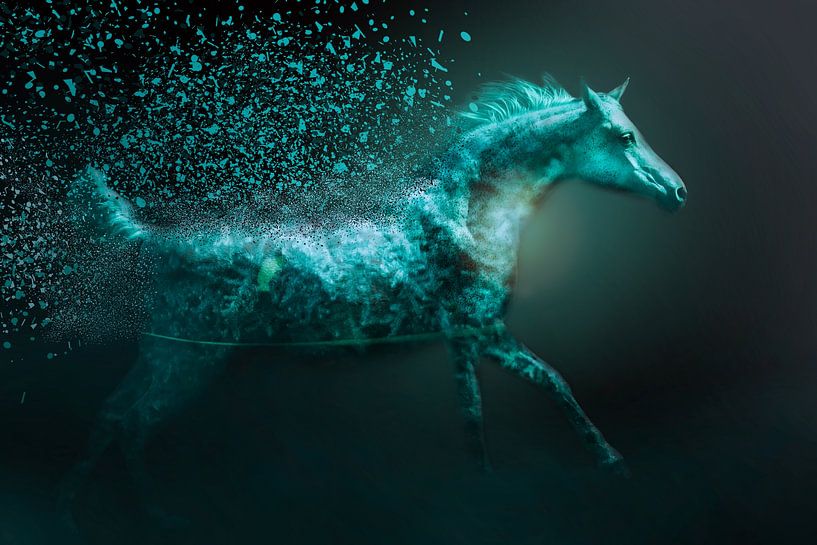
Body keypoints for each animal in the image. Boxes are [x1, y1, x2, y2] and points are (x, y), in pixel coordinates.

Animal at [59, 77, 686, 524]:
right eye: (624, 137)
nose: (678, 191)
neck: (468, 213)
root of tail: (160, 241)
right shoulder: (471, 335)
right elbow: (487, 411)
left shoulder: (481, 336)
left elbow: (539, 387)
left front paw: (605, 463)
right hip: (191, 359)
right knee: (133, 422)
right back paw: (156, 514)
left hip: (165, 354)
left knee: (110, 415)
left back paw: (82, 506)